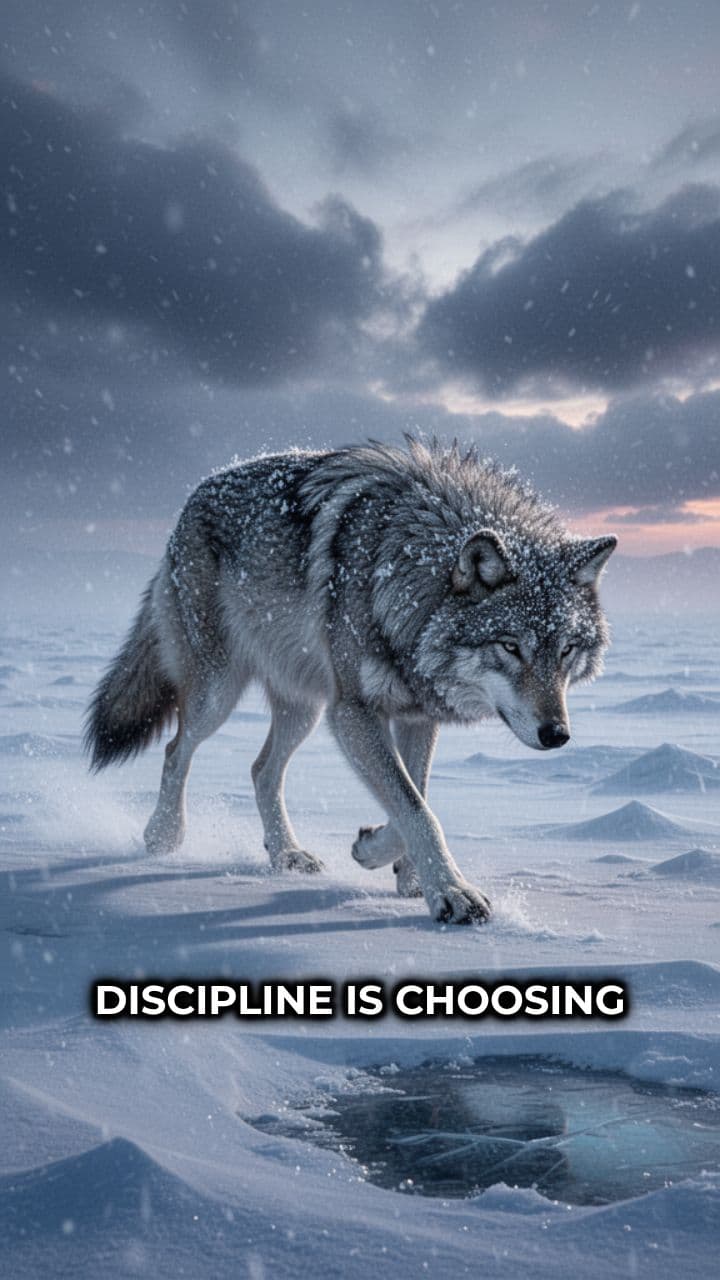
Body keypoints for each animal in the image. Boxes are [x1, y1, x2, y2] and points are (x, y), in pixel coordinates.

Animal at [85, 439, 616, 925]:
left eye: (566, 650)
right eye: (510, 647)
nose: (557, 734)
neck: (402, 575)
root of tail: (194, 494)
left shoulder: (416, 715)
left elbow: (416, 798)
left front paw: (395, 867)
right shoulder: (354, 712)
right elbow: (418, 809)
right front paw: (452, 893)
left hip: (305, 707)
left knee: (261, 770)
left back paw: (287, 855)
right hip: (220, 693)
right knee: (177, 750)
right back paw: (163, 837)